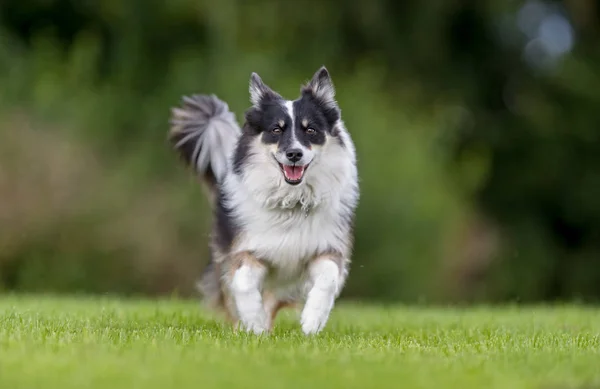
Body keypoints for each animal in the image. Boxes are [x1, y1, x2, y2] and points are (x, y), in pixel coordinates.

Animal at [166, 66, 358, 334]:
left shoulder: (326, 247)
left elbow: (328, 277)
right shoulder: (246, 249)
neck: (291, 202)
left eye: (310, 130)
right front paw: (254, 324)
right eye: (276, 129)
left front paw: (312, 321)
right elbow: (243, 282)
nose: (294, 154)